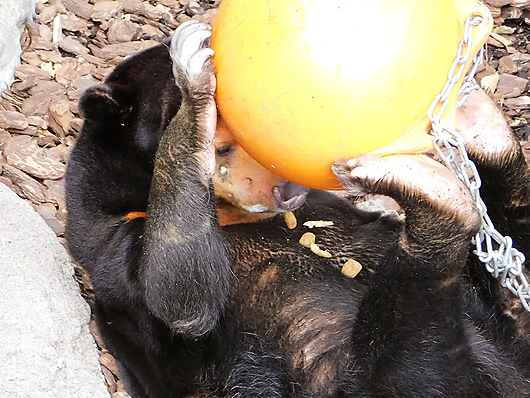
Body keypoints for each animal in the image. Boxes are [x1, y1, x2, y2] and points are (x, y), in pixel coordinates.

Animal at [65, 21, 528, 398]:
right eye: (223, 145)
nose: (287, 191)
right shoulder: (112, 242)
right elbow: (181, 296)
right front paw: (194, 75)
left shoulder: (328, 203)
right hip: (355, 380)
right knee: (412, 356)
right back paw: (435, 200)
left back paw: (479, 123)